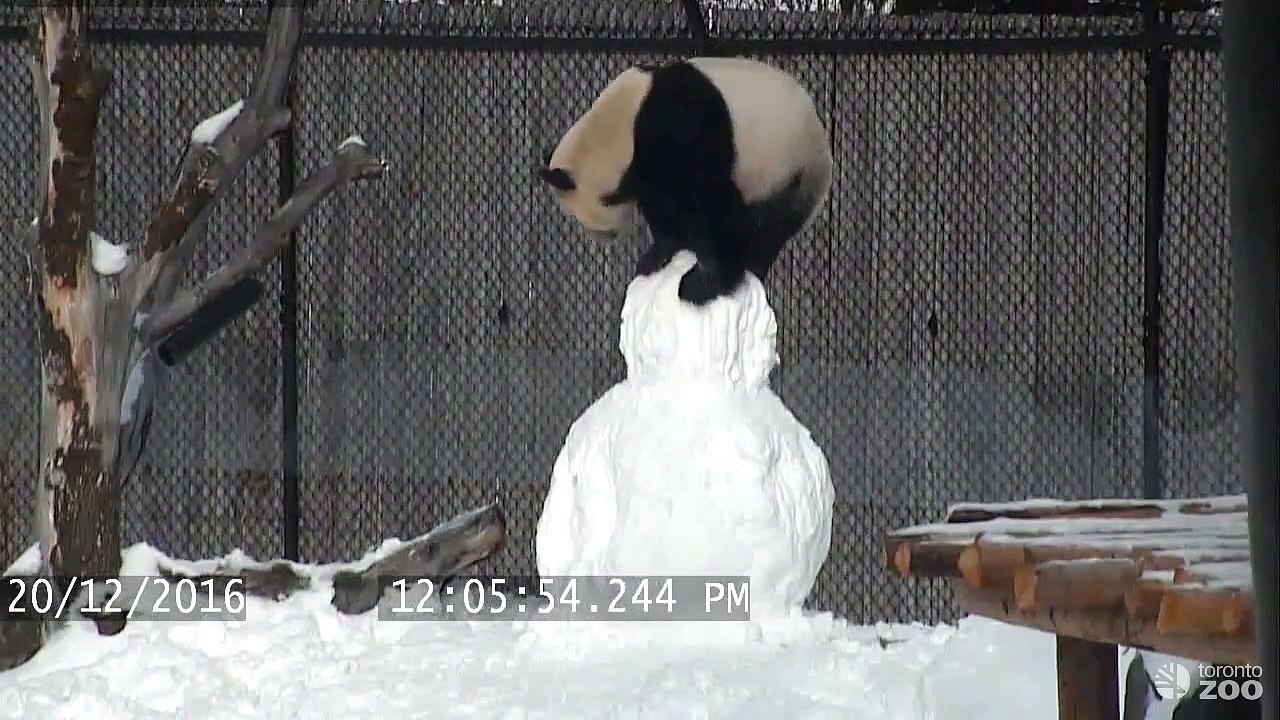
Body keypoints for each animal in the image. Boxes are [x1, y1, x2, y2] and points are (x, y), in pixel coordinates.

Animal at [538, 56, 833, 306]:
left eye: (576, 215)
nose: (605, 237)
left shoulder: (683, 133)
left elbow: (709, 205)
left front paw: (703, 283)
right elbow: (662, 206)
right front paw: (656, 256)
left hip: (787, 169)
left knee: (767, 222)